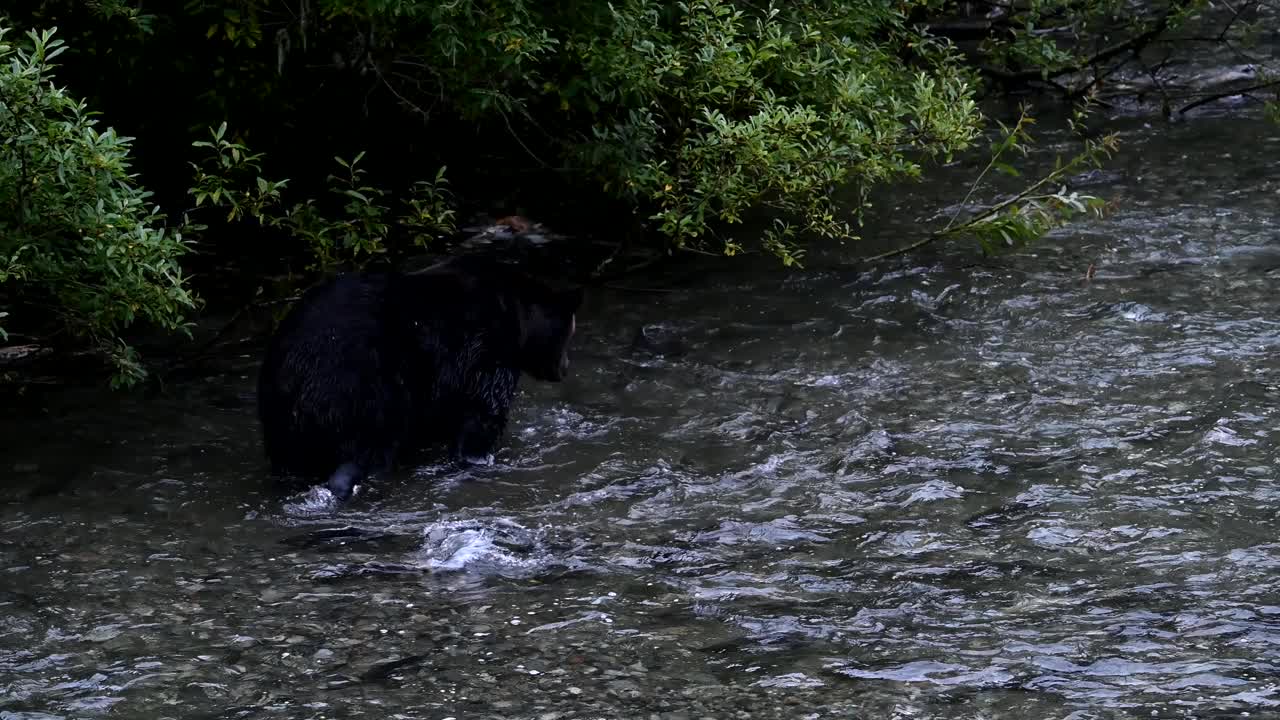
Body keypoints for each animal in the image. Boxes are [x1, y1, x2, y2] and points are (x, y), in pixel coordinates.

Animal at [256, 256, 586, 499]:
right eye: (569, 332)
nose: (565, 368)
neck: (517, 316)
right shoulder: (482, 346)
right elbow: (483, 410)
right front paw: (478, 457)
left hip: (281, 415)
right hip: (364, 386)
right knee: (372, 443)